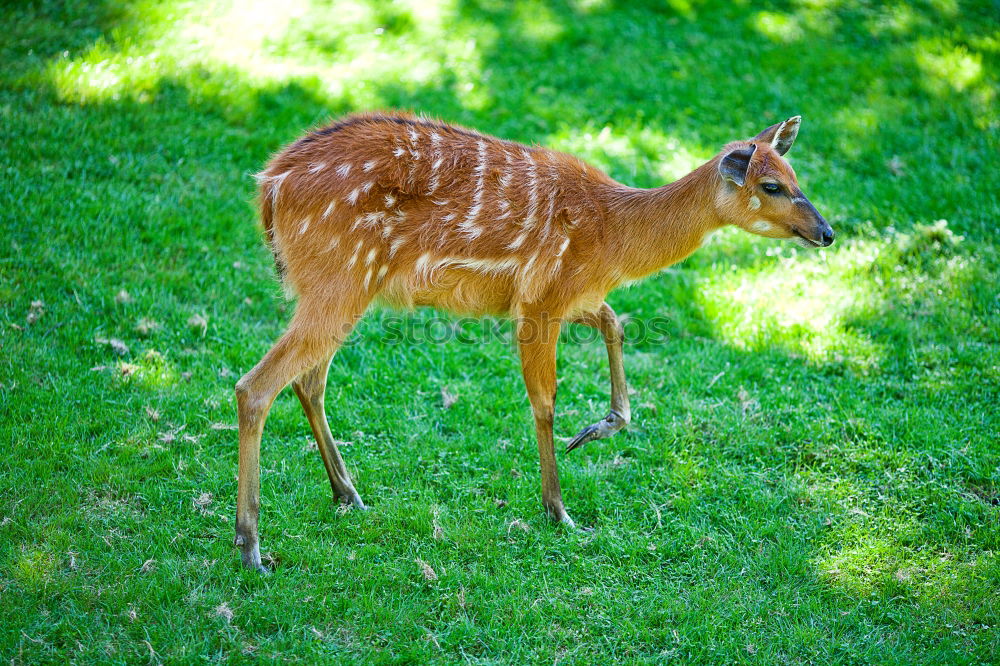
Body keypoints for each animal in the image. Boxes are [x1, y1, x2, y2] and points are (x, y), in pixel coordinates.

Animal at [236, 111, 836, 568]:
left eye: (795, 174)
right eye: (771, 185)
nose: (826, 232)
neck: (614, 237)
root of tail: (269, 187)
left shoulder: (571, 296)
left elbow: (615, 323)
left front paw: (598, 429)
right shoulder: (540, 299)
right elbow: (544, 401)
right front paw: (560, 511)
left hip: (343, 289)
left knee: (308, 379)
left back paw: (349, 495)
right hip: (339, 277)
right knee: (255, 385)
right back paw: (251, 547)